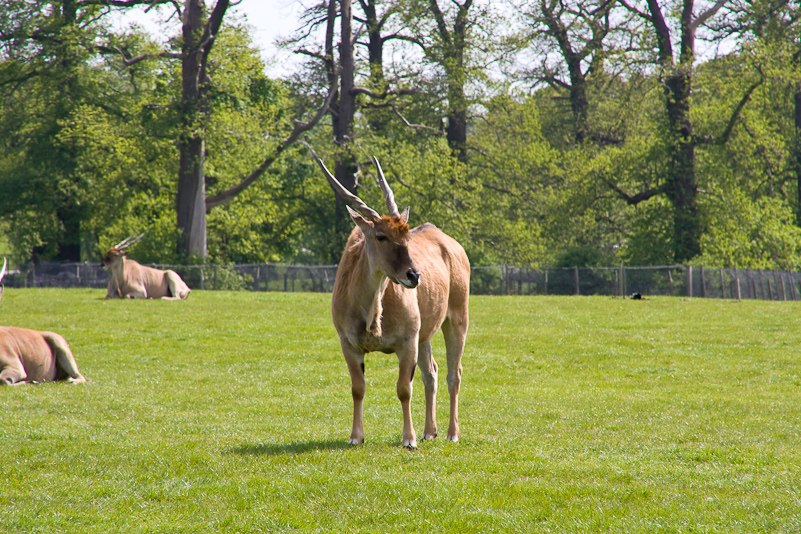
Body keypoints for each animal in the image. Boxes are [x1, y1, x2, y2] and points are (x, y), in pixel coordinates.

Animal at [0, 258, 86, 388]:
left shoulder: (16, 367)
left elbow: (4, 380)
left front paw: (30, 381)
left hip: (61, 345)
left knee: (79, 376)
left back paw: (72, 380)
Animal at [318, 157, 468, 450]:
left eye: (407, 236)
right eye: (381, 236)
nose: (414, 275)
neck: (371, 309)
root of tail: (452, 245)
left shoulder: (407, 342)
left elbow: (404, 389)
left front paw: (409, 439)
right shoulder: (348, 344)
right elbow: (358, 388)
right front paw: (356, 436)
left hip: (457, 320)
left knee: (453, 374)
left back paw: (451, 433)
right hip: (425, 335)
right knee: (431, 373)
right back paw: (429, 431)